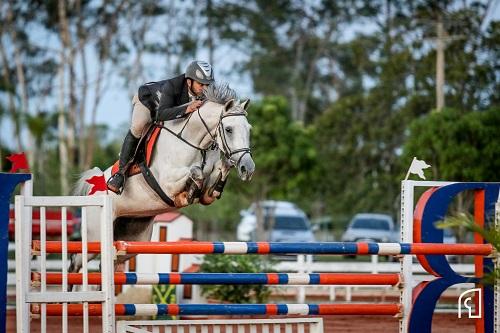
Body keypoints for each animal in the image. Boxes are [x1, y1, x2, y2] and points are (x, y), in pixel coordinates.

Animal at [71, 83, 254, 272]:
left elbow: (214, 181)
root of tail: (92, 189)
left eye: (249, 129)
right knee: (76, 261)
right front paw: (188, 194)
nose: (247, 168)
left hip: (133, 238)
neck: (195, 143)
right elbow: (196, 171)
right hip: (94, 235)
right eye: (229, 129)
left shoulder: (207, 193)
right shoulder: (167, 182)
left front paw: (220, 171)